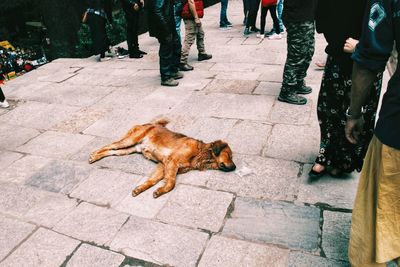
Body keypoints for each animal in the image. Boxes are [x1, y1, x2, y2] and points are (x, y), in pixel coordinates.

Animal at [89, 119, 236, 199]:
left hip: (128, 150)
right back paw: (94, 155)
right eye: (229, 156)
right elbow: (171, 183)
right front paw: (161, 191)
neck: (201, 152)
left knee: (111, 152)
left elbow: (152, 180)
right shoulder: (171, 162)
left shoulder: (163, 165)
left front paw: (140, 188)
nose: (235, 167)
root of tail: (150, 123)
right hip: (129, 140)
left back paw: (97, 157)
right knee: (109, 145)